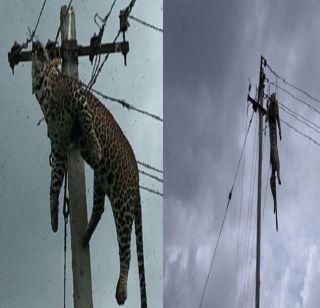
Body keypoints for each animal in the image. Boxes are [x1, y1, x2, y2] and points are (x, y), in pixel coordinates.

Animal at [30, 41, 148, 308]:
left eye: (46, 51)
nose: (39, 44)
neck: (44, 89)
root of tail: (136, 181)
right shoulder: (59, 148)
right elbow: (53, 186)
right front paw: (53, 218)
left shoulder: (78, 96)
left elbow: (87, 121)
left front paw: (95, 149)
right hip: (101, 180)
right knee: (99, 208)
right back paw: (84, 236)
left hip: (123, 204)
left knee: (126, 250)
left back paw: (121, 290)